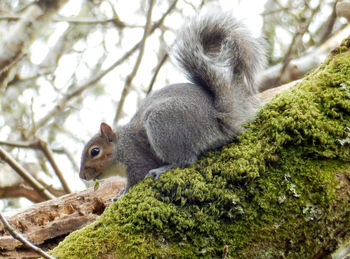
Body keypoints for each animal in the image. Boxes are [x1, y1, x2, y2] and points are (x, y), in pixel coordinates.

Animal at [78, 10, 266, 197]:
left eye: (95, 151)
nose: (82, 176)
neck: (120, 145)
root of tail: (216, 120)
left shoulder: (136, 158)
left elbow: (136, 178)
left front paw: (121, 194)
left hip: (162, 124)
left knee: (185, 160)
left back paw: (162, 169)